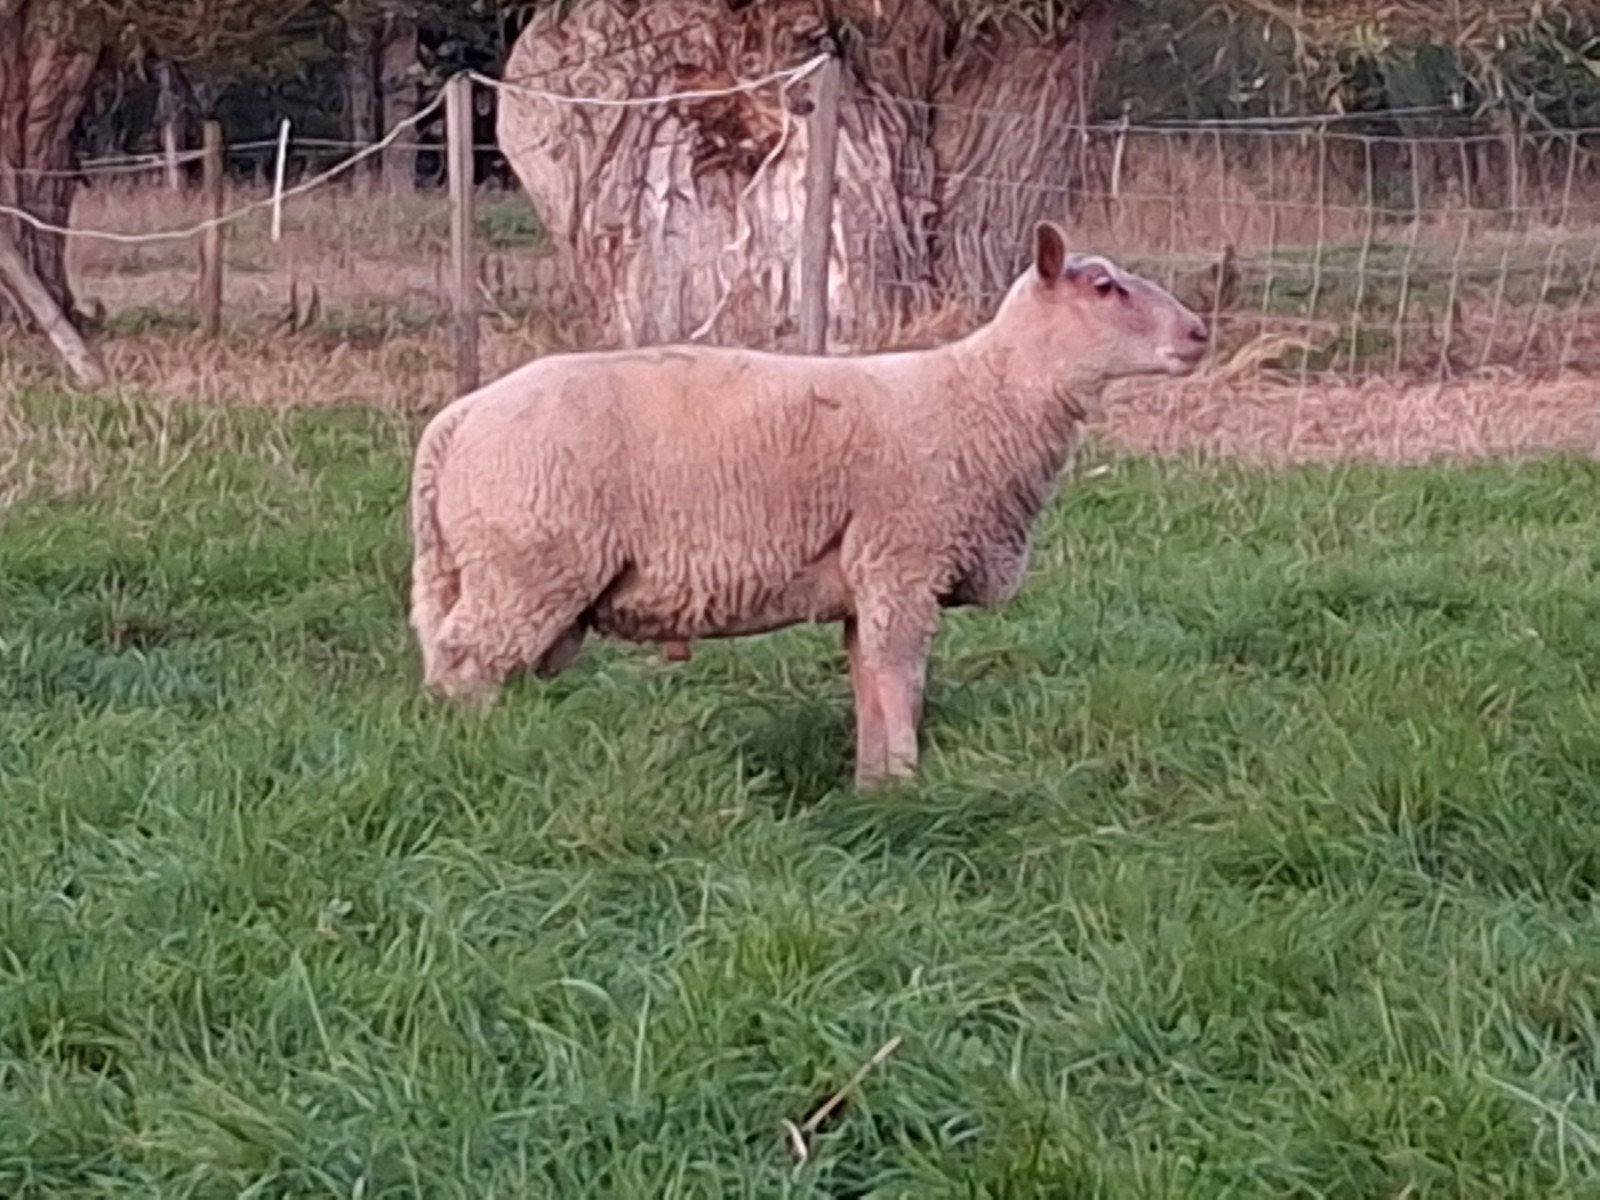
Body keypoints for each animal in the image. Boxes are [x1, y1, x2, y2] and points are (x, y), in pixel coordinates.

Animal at [408, 221, 1209, 787]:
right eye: (1103, 287)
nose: (1201, 332)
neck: (985, 397)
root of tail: (457, 421)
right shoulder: (902, 564)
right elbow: (902, 682)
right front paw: (907, 785)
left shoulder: (865, 581)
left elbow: (868, 687)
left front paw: (872, 787)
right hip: (529, 565)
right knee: (465, 662)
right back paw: (474, 757)